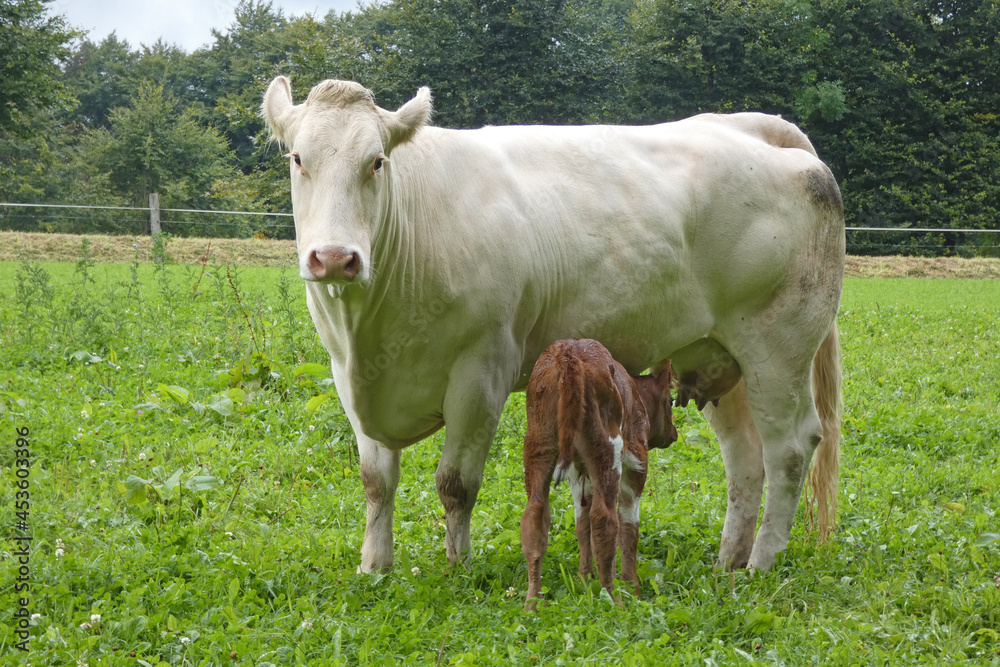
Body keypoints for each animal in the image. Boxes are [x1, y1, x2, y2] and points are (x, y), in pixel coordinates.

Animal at [264, 77, 844, 576]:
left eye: (377, 162)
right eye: (298, 159)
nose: (335, 258)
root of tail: (754, 127)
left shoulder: (483, 371)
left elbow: (456, 483)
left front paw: (458, 568)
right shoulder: (350, 376)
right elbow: (376, 482)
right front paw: (375, 566)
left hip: (779, 346)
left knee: (791, 448)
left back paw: (760, 563)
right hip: (719, 354)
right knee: (746, 457)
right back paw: (728, 560)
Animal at [520, 340, 676, 612]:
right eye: (672, 402)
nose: (674, 434)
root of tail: (567, 353)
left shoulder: (575, 471)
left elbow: (581, 521)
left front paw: (584, 578)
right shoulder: (636, 463)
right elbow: (629, 526)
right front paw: (632, 587)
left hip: (539, 442)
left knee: (535, 514)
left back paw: (532, 602)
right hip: (608, 449)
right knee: (605, 518)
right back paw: (614, 599)